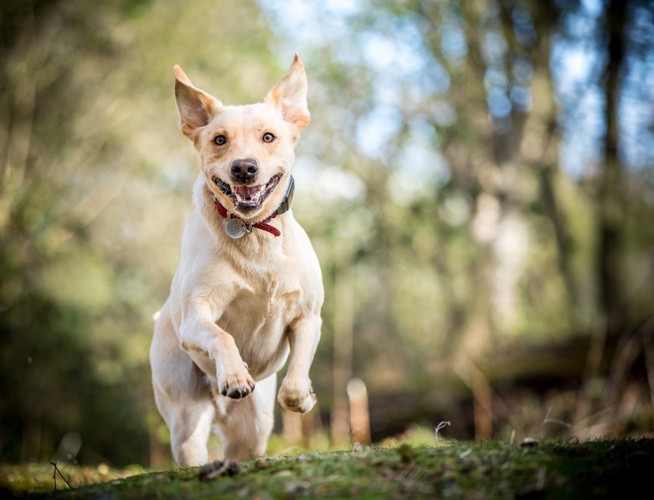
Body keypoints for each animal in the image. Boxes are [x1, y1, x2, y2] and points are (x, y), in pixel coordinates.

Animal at [149, 54, 322, 472]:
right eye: (219, 140)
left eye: (268, 137)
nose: (244, 168)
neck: (253, 231)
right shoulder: (197, 316)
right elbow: (222, 335)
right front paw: (235, 375)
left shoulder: (309, 316)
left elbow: (295, 381)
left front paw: (303, 396)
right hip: (185, 414)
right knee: (192, 445)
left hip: (253, 426)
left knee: (243, 442)